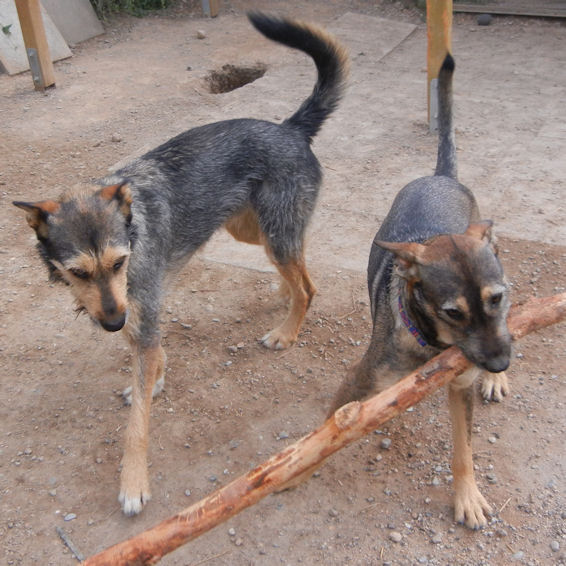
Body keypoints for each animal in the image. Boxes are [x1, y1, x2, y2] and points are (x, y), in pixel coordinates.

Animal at [13, 12, 348, 516]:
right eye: (78, 272)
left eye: (118, 262)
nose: (111, 324)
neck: (132, 232)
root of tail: (289, 128)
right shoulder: (132, 310)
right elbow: (145, 355)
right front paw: (153, 379)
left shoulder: (137, 304)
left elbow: (137, 425)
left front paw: (133, 482)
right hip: (254, 231)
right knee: (300, 265)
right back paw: (285, 296)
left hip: (272, 234)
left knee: (308, 284)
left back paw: (287, 330)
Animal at [327, 54, 511, 529]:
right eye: (453, 312)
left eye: (497, 299)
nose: (500, 364)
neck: (433, 348)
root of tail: (439, 176)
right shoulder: (360, 380)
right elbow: (325, 429)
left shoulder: (461, 384)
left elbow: (464, 450)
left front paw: (468, 498)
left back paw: (495, 384)